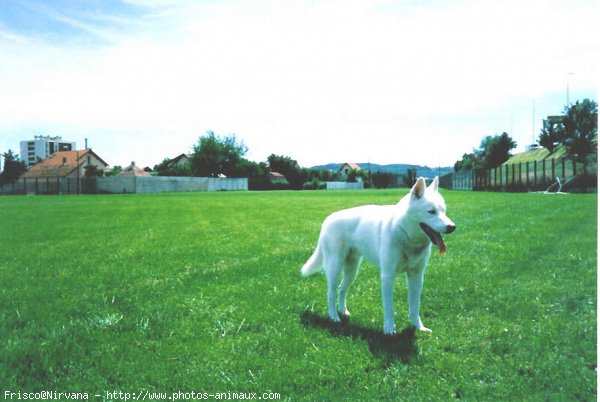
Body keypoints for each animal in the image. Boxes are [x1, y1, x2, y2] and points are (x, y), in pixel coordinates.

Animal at [300, 177, 454, 334]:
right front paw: (389, 330)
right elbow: (389, 308)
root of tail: (327, 220)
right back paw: (334, 317)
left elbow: (414, 307)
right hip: (334, 268)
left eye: (444, 211)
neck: (405, 233)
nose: (452, 227)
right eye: (431, 212)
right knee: (331, 293)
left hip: (352, 270)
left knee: (341, 289)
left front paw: (418, 327)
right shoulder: (388, 276)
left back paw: (343, 311)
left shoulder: (416, 276)